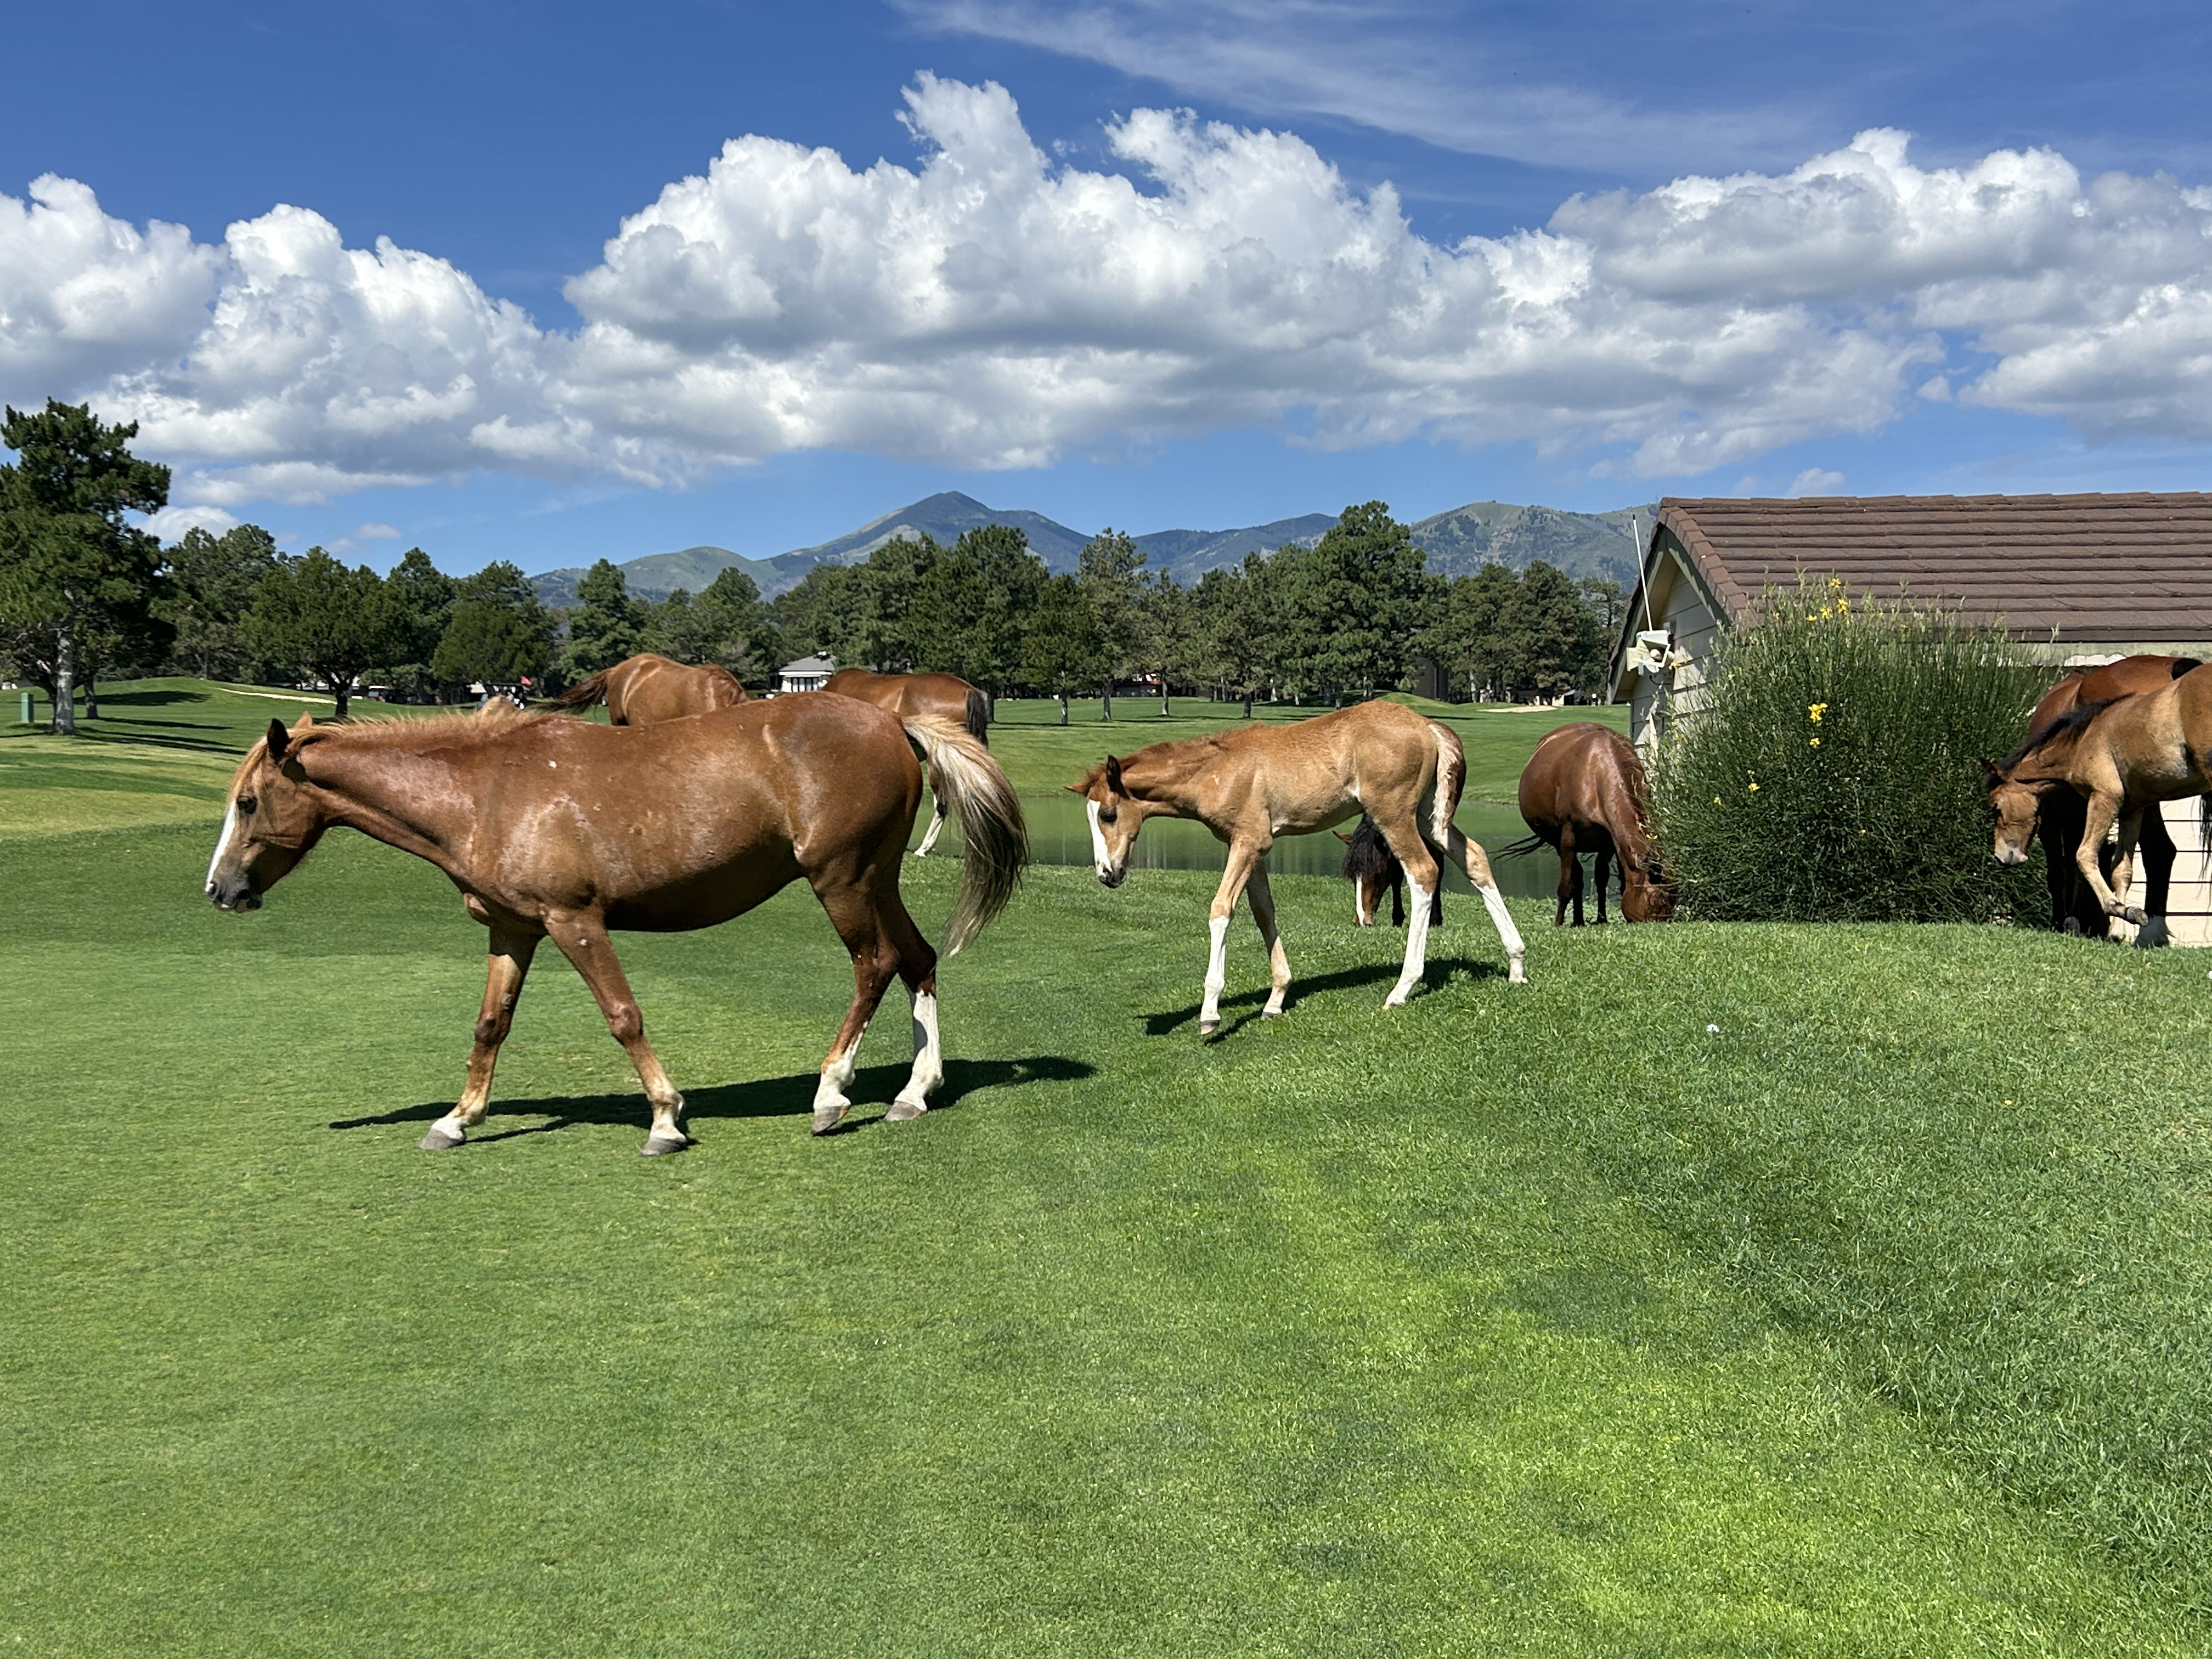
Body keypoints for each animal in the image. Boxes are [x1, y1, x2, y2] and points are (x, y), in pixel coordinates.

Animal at [204, 698, 1026, 1149]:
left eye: (247, 802)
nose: (220, 889)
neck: (484, 790)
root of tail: (891, 722)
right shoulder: (513, 931)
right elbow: (490, 1026)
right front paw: (458, 1118)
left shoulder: (576, 922)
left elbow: (623, 1017)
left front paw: (665, 1118)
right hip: (875, 880)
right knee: (918, 959)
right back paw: (915, 1091)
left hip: (842, 881)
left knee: (874, 965)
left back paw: (831, 1094)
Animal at [1069, 700, 1527, 1035]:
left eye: (1109, 814)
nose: (1107, 874)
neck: (1217, 771)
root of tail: (1429, 726)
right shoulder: (1248, 847)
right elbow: (1263, 913)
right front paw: (1276, 1000)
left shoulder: (1250, 842)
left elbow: (1221, 909)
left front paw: (1210, 1012)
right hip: (1429, 816)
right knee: (1475, 859)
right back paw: (1517, 964)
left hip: (1394, 814)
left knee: (1423, 872)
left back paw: (1402, 988)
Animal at [1514, 722, 1672, 926]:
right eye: (1653, 906)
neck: (1596, 775)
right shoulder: (1568, 837)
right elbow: (1567, 884)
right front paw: (1558, 922)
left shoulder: (1609, 842)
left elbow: (1603, 878)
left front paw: (1602, 918)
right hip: (1558, 841)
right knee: (1576, 876)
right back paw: (1577, 920)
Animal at [1986, 663, 2212, 931]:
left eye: (1996, 807)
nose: (2002, 856)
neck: (2084, 738)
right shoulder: (2131, 809)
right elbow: (2121, 869)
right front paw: (2124, 917)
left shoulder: (2099, 800)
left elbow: (2078, 859)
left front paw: (2106, 911)